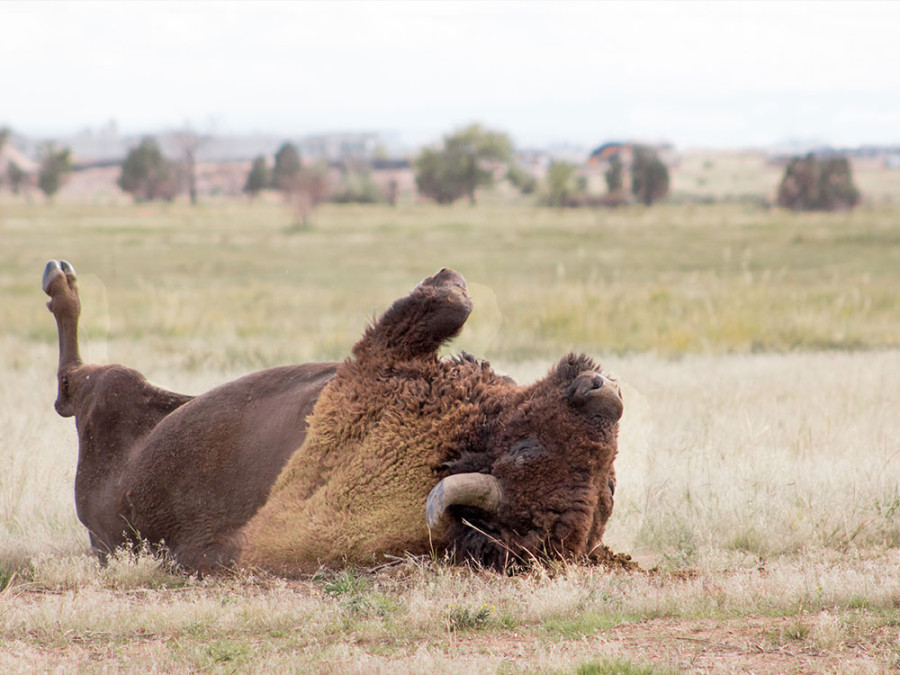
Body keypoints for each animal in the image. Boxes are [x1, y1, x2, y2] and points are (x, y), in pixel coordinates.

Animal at [44, 262, 624, 572]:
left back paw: (60, 283)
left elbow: (446, 301)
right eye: (610, 482)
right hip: (162, 397)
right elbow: (455, 300)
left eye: (529, 452)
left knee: (71, 387)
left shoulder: (377, 362)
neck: (446, 448)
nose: (602, 391)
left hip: (114, 393)